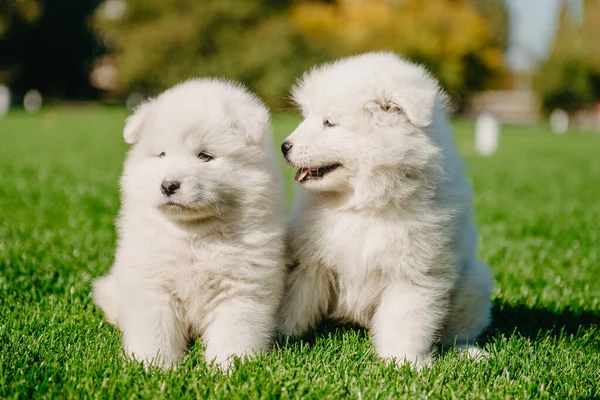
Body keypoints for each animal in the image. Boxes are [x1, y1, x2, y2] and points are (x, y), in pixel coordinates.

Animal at [92, 79, 288, 370]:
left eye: (204, 156)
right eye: (162, 154)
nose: (168, 185)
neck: (194, 233)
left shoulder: (241, 288)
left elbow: (234, 331)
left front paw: (229, 367)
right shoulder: (154, 285)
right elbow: (155, 330)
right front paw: (152, 365)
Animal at [278, 52, 494, 368]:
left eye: (329, 123)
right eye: (308, 117)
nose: (284, 146)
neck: (364, 203)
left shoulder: (415, 273)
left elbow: (405, 321)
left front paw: (407, 362)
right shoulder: (310, 263)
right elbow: (296, 304)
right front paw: (280, 338)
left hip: (473, 284)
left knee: (458, 332)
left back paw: (470, 352)